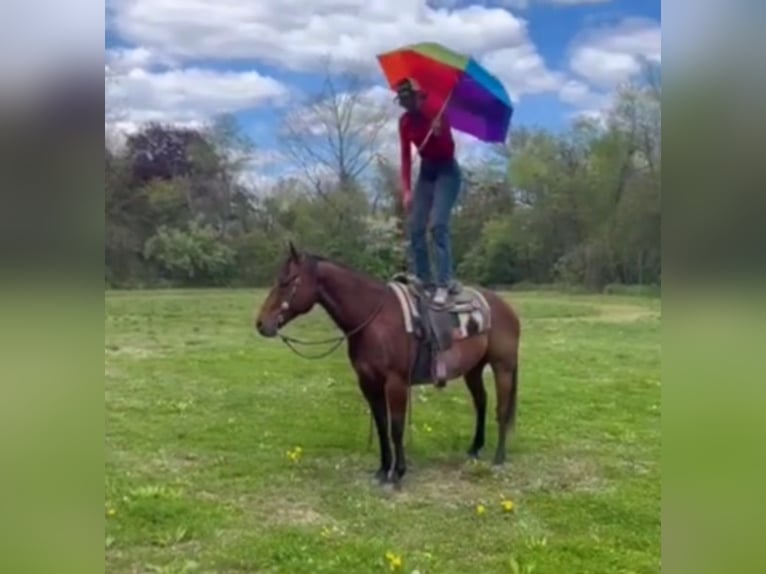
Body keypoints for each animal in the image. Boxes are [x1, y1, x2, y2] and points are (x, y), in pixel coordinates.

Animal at [256, 243, 520, 490]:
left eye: (287, 281)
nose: (261, 323)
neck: (374, 318)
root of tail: (505, 308)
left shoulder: (396, 383)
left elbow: (396, 427)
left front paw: (398, 473)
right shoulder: (369, 382)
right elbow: (382, 425)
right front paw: (383, 470)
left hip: (503, 367)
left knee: (502, 409)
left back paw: (499, 458)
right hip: (473, 369)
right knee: (481, 402)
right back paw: (475, 448)